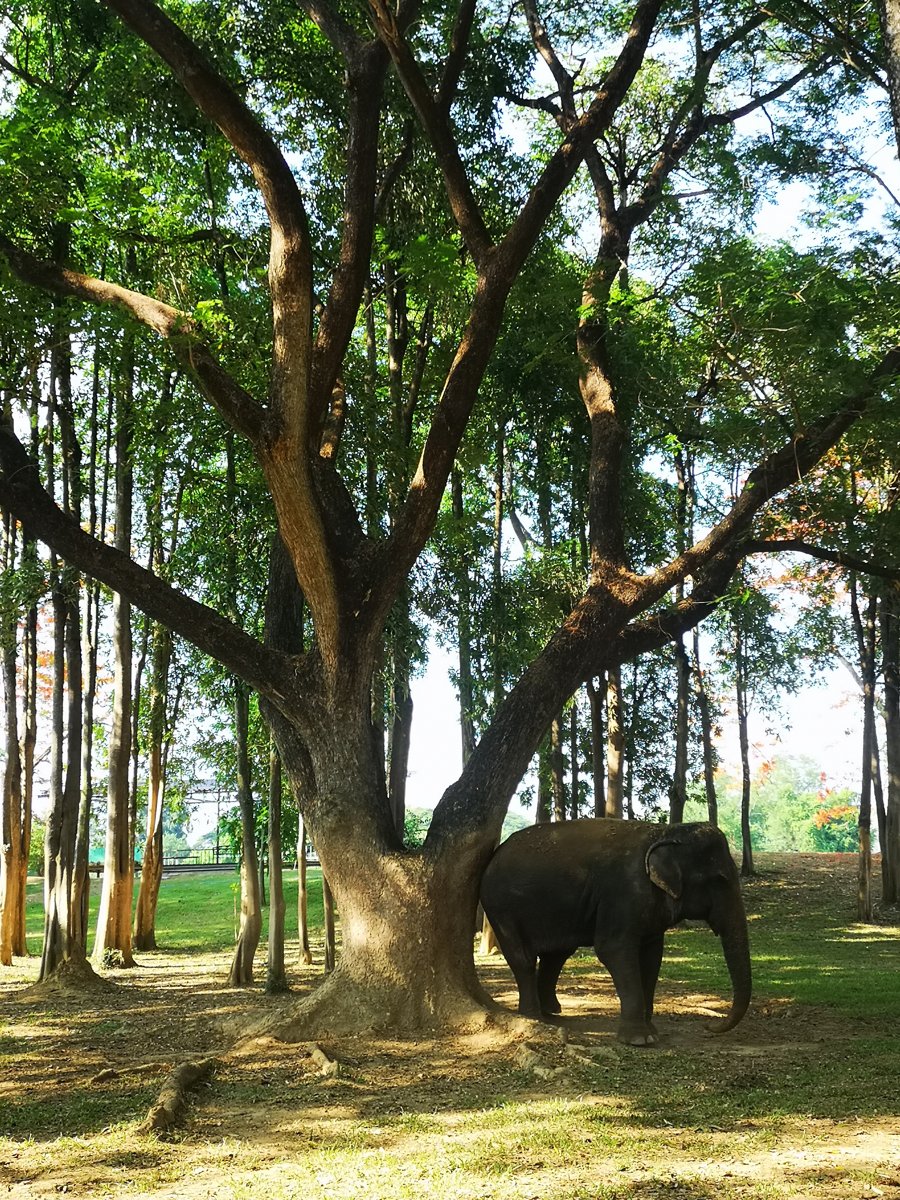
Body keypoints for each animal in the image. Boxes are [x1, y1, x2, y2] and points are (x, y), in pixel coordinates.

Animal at [479, 818, 751, 1045]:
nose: (709, 1026)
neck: (664, 831)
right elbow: (613, 950)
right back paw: (533, 1016)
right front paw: (639, 1040)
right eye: (720, 880)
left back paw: (551, 1012)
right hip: (500, 907)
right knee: (523, 959)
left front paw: (651, 1032)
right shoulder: (622, 895)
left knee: (556, 956)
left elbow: (652, 958)